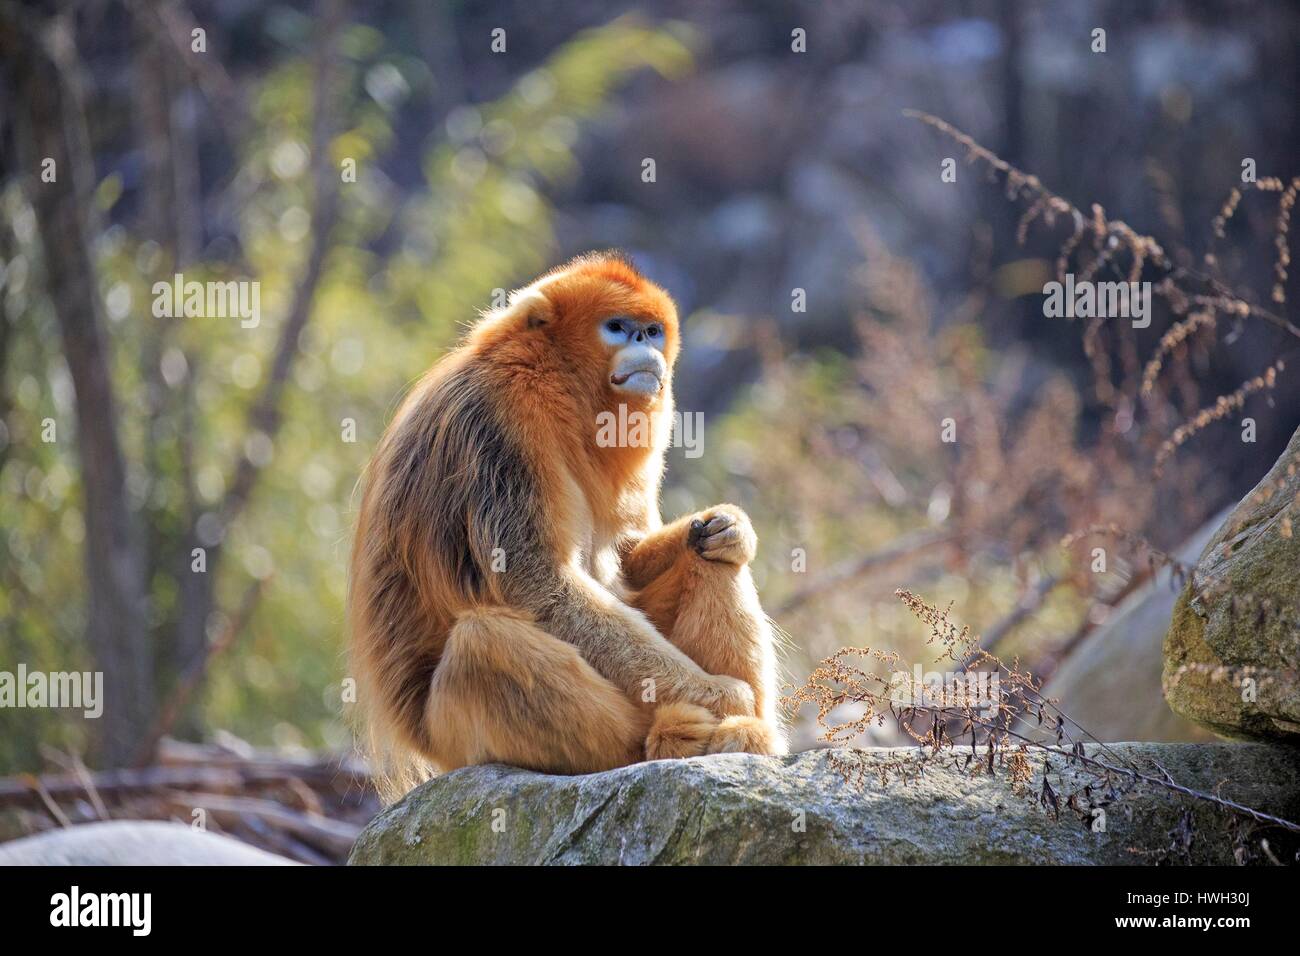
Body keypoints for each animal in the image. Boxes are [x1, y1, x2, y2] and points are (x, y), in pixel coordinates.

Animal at [349, 251, 787, 800]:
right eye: (617, 328)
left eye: (652, 331)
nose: (645, 346)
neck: (553, 377)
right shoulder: (501, 418)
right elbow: (539, 584)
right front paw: (722, 694)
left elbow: (627, 553)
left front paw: (734, 526)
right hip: (454, 739)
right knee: (482, 642)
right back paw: (667, 741)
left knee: (710, 557)